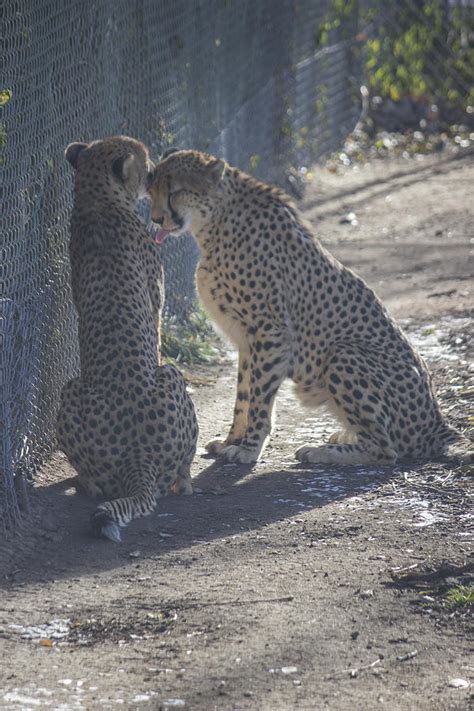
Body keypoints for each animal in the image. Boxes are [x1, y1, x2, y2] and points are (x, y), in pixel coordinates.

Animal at [57, 136, 198, 544]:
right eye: (145, 162)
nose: (153, 173)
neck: (96, 197)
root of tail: (138, 455)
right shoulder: (156, 299)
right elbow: (157, 332)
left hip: (72, 390)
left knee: (95, 483)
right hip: (171, 376)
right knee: (181, 470)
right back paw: (185, 481)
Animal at [149, 149, 470, 468]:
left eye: (175, 191)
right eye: (153, 190)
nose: (156, 219)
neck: (214, 222)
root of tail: (437, 423)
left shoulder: (271, 333)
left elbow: (259, 398)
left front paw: (249, 448)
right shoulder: (246, 339)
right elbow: (243, 395)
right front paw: (231, 441)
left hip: (343, 353)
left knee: (385, 450)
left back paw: (320, 452)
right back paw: (344, 436)